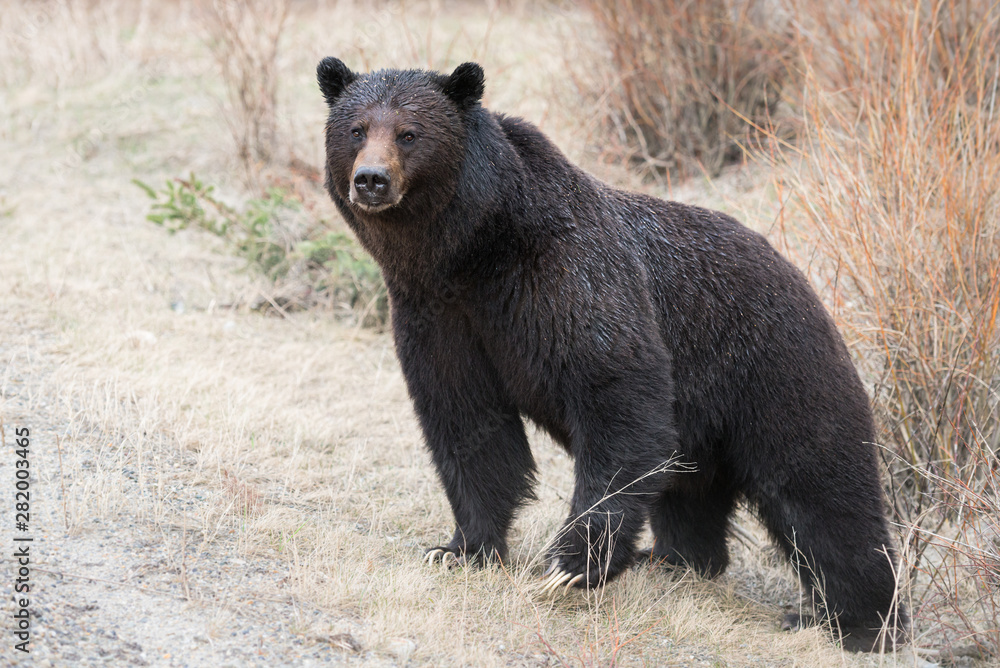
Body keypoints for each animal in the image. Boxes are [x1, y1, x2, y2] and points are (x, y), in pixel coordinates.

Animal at [318, 57, 908, 652]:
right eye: (356, 129)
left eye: (409, 133)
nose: (371, 179)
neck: (472, 251)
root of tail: (804, 281)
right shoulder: (439, 317)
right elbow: (468, 424)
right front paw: (459, 548)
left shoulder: (568, 279)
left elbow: (617, 396)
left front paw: (570, 565)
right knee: (693, 490)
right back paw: (677, 559)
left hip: (777, 370)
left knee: (819, 491)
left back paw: (855, 621)